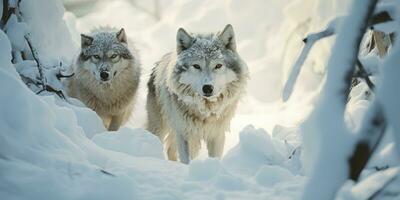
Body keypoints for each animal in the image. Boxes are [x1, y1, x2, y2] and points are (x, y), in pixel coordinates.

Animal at [145, 24, 248, 163]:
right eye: (196, 66)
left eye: (218, 65)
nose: (208, 88)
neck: (206, 111)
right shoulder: (184, 133)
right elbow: (186, 160)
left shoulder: (217, 134)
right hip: (160, 128)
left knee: (170, 150)